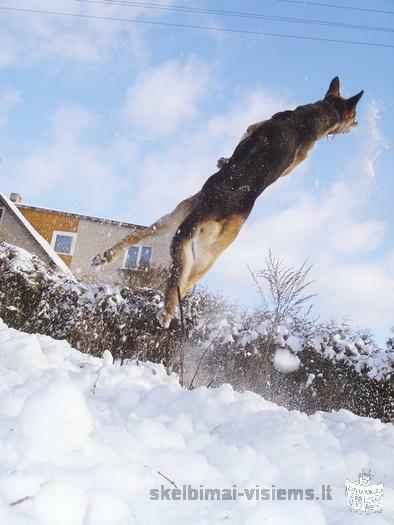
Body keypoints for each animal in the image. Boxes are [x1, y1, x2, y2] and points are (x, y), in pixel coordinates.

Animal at [92, 75, 364, 326]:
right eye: (354, 116)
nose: (358, 124)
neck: (314, 117)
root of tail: (210, 209)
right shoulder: (265, 136)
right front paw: (223, 159)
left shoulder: (253, 129)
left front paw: (223, 160)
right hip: (209, 253)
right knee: (186, 281)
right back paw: (168, 310)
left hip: (179, 217)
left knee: (141, 237)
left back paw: (111, 260)